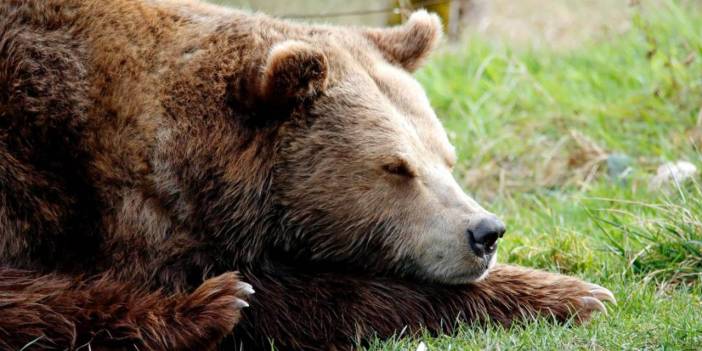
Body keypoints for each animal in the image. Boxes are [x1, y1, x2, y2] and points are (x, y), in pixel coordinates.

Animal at [0, 0, 616, 350]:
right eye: (396, 166)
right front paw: (576, 293)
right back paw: (209, 307)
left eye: (446, 156)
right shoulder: (90, 195)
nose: (484, 232)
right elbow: (304, 294)